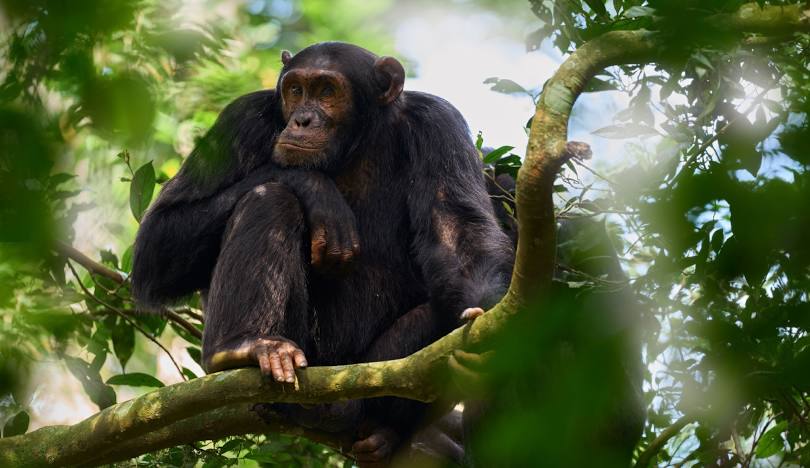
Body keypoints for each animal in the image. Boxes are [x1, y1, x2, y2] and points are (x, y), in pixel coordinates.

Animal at [132, 41, 512, 464]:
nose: (302, 119)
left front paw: (492, 350)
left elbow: (458, 231)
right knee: (269, 197)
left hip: (370, 376)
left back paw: (386, 431)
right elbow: (159, 240)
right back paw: (242, 346)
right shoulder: (239, 122)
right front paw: (315, 189)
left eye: (327, 91)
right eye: (296, 90)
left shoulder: (438, 126)